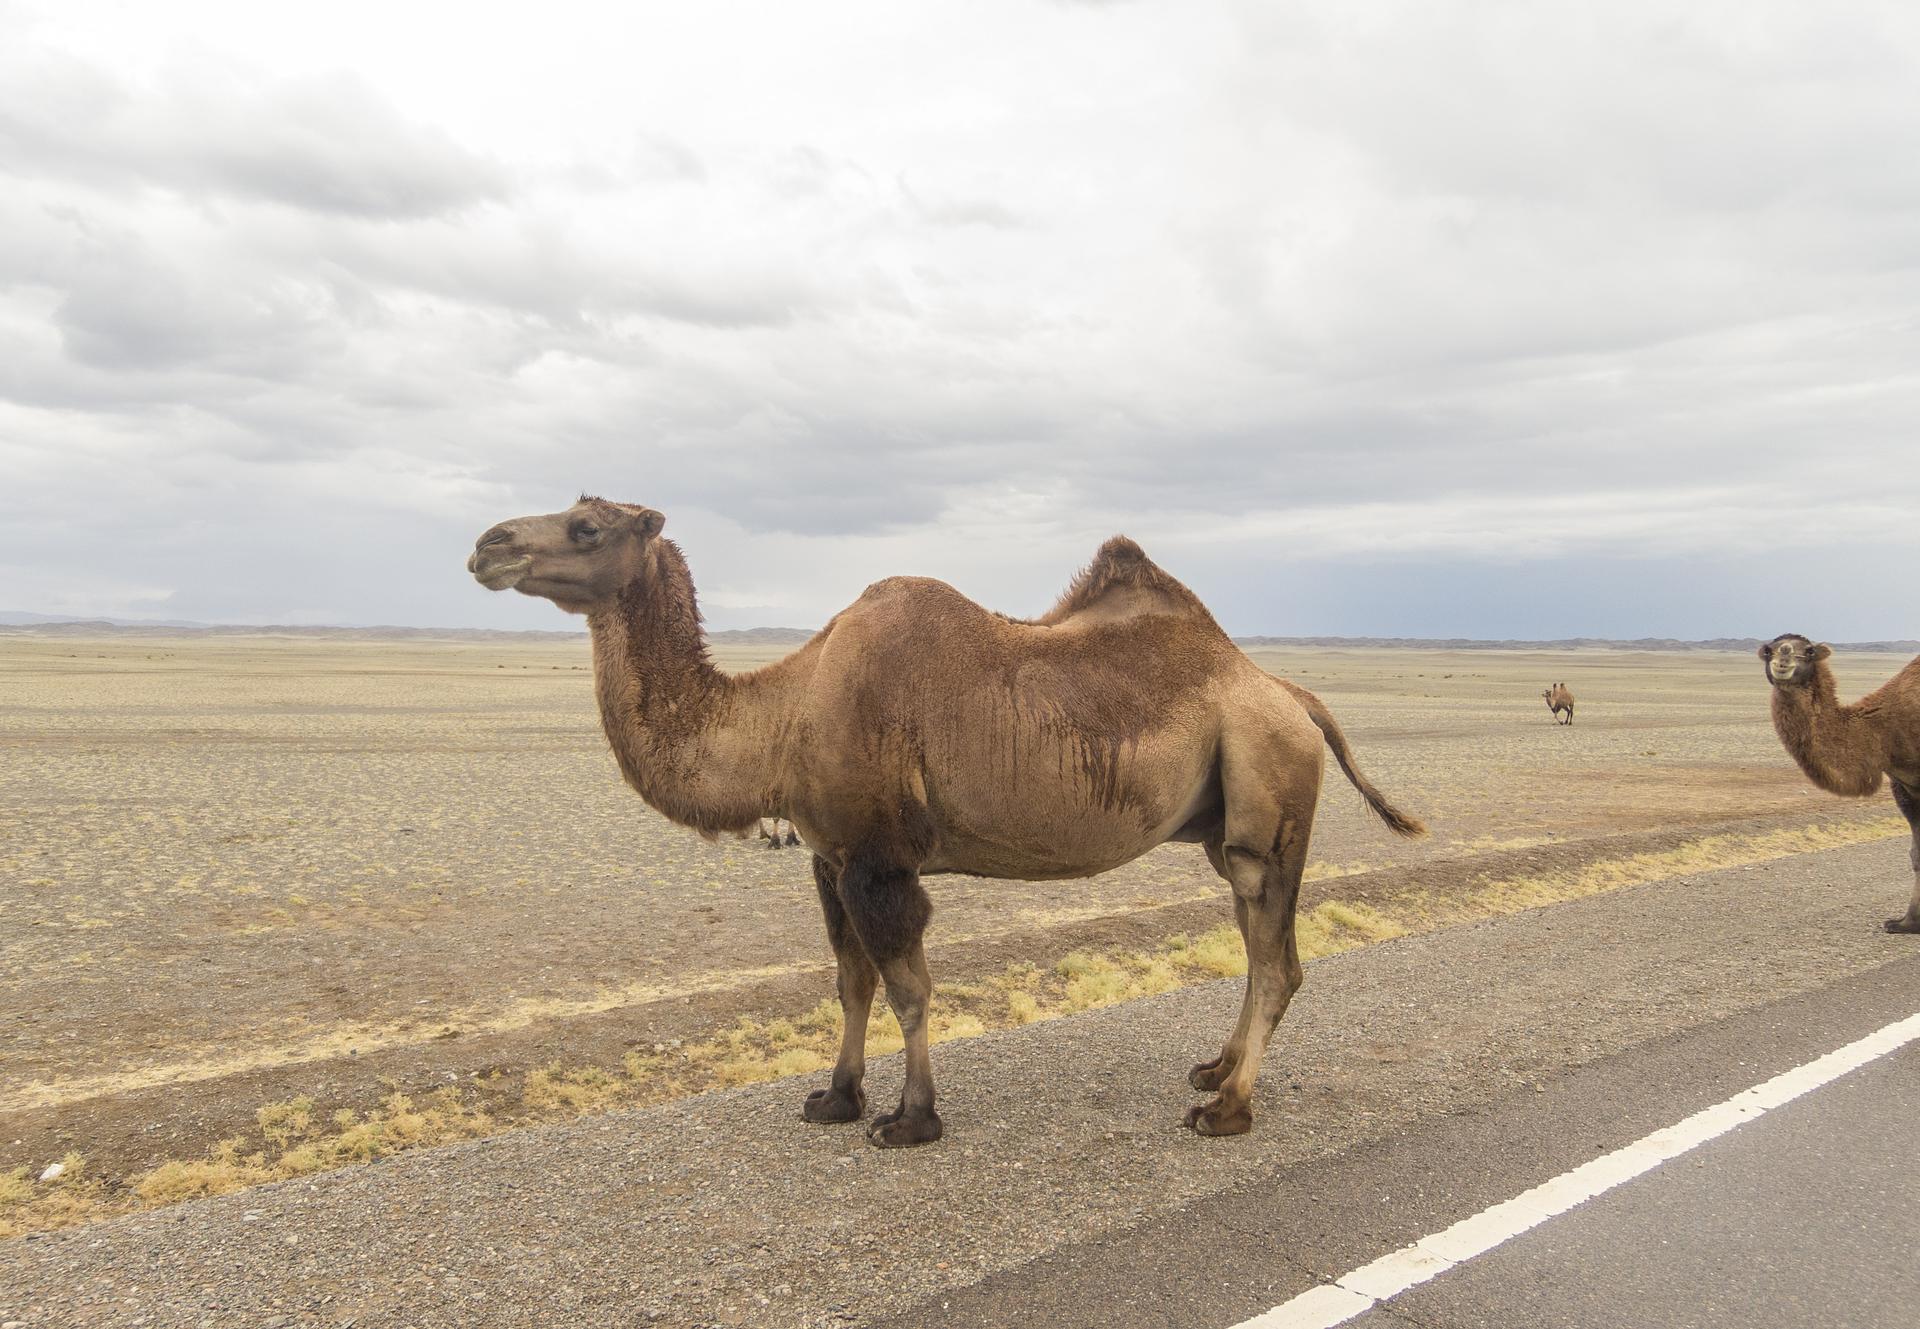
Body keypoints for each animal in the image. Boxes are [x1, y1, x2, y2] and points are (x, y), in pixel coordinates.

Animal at [468, 497, 1426, 1146]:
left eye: (587, 525)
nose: (487, 544)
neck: (784, 712)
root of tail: (1289, 692)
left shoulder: (882, 860)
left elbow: (909, 988)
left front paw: (910, 1117)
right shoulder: (830, 858)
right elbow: (850, 983)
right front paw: (835, 1098)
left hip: (1267, 795)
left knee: (1279, 961)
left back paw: (1224, 1108)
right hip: (1231, 818)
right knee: (1259, 950)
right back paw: (1214, 1067)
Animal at [1759, 634, 1920, 934]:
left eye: (1809, 651)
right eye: (1768, 650)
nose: (1783, 656)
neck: (1883, 729)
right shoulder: (1904, 784)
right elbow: (1916, 853)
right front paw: (1906, 923)